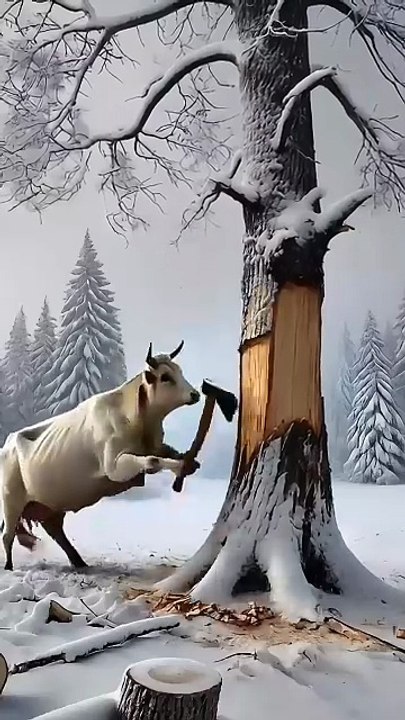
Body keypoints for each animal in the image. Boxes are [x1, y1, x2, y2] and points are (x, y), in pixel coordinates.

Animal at [0, 341, 200, 571]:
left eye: (179, 371)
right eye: (165, 377)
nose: (195, 394)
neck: (139, 421)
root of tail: (8, 442)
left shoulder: (155, 446)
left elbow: (167, 452)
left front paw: (188, 461)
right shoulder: (114, 467)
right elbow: (152, 460)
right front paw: (178, 467)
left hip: (49, 504)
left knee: (55, 530)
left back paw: (78, 561)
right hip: (10, 499)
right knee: (7, 534)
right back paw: (9, 566)